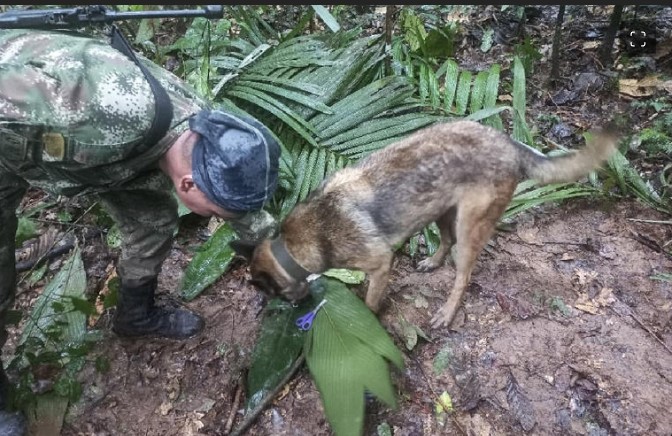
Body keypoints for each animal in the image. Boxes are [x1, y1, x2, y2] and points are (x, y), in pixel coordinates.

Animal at [232, 119, 620, 328]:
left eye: (272, 293)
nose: (295, 309)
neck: (294, 244)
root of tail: (509, 143)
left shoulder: (380, 264)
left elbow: (370, 301)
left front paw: (368, 319)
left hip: (468, 226)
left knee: (463, 274)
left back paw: (447, 312)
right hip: (441, 211)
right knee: (445, 242)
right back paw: (432, 262)